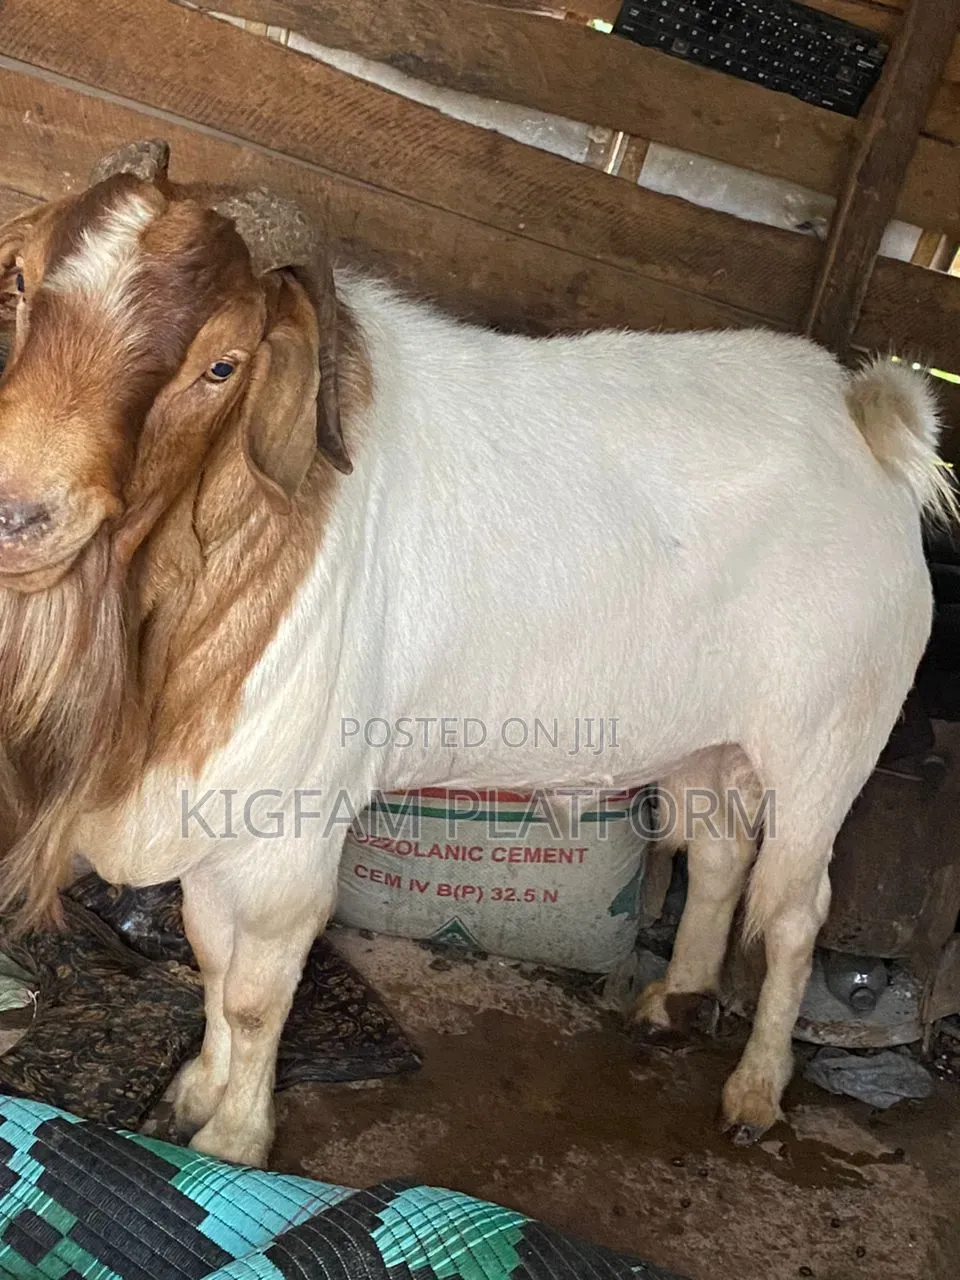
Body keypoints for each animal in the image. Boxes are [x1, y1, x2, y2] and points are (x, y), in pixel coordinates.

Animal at [0, 138, 950, 1167]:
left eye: (222, 364)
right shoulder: (217, 814)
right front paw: (195, 1094)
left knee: (795, 913)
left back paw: (754, 1091)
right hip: (707, 743)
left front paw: (235, 1139)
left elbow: (255, 993)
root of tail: (861, 416)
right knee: (720, 855)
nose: (19, 512)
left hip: (825, 749)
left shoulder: (290, 822)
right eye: (21, 280)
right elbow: (211, 958)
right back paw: (674, 1003)